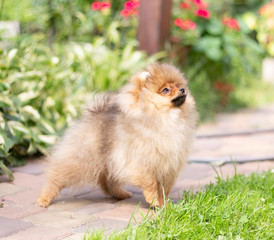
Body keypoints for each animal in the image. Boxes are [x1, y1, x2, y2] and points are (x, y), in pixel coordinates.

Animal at [37, 62, 197, 207]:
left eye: (178, 85)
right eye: (165, 90)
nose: (183, 89)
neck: (165, 118)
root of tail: (94, 113)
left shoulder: (168, 165)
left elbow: (163, 188)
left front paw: (163, 205)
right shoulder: (138, 162)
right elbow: (151, 183)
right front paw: (155, 202)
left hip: (109, 163)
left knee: (107, 182)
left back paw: (121, 194)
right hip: (82, 160)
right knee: (57, 177)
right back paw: (44, 199)